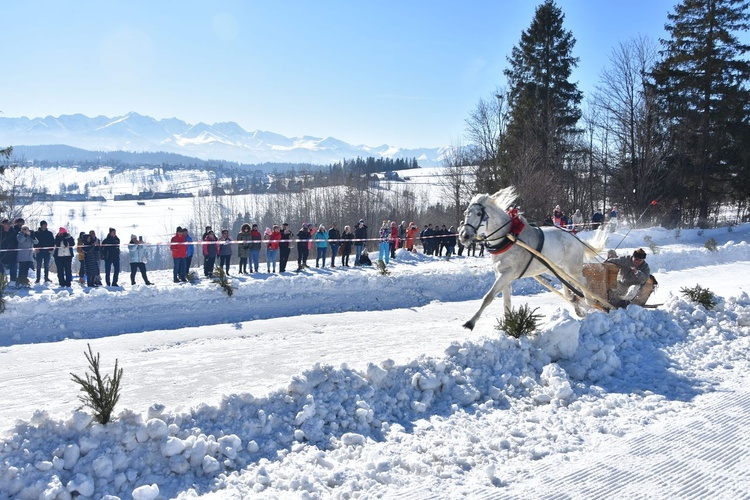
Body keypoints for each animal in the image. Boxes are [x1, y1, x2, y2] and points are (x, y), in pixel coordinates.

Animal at [458, 186, 612, 330]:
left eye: (479, 213)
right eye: (465, 213)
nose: (464, 236)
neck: (509, 238)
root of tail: (575, 238)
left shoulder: (507, 273)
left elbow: (488, 297)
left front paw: (470, 322)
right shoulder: (501, 275)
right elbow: (506, 302)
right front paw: (509, 325)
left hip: (572, 268)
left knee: (582, 282)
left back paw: (589, 302)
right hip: (554, 268)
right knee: (567, 284)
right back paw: (575, 302)